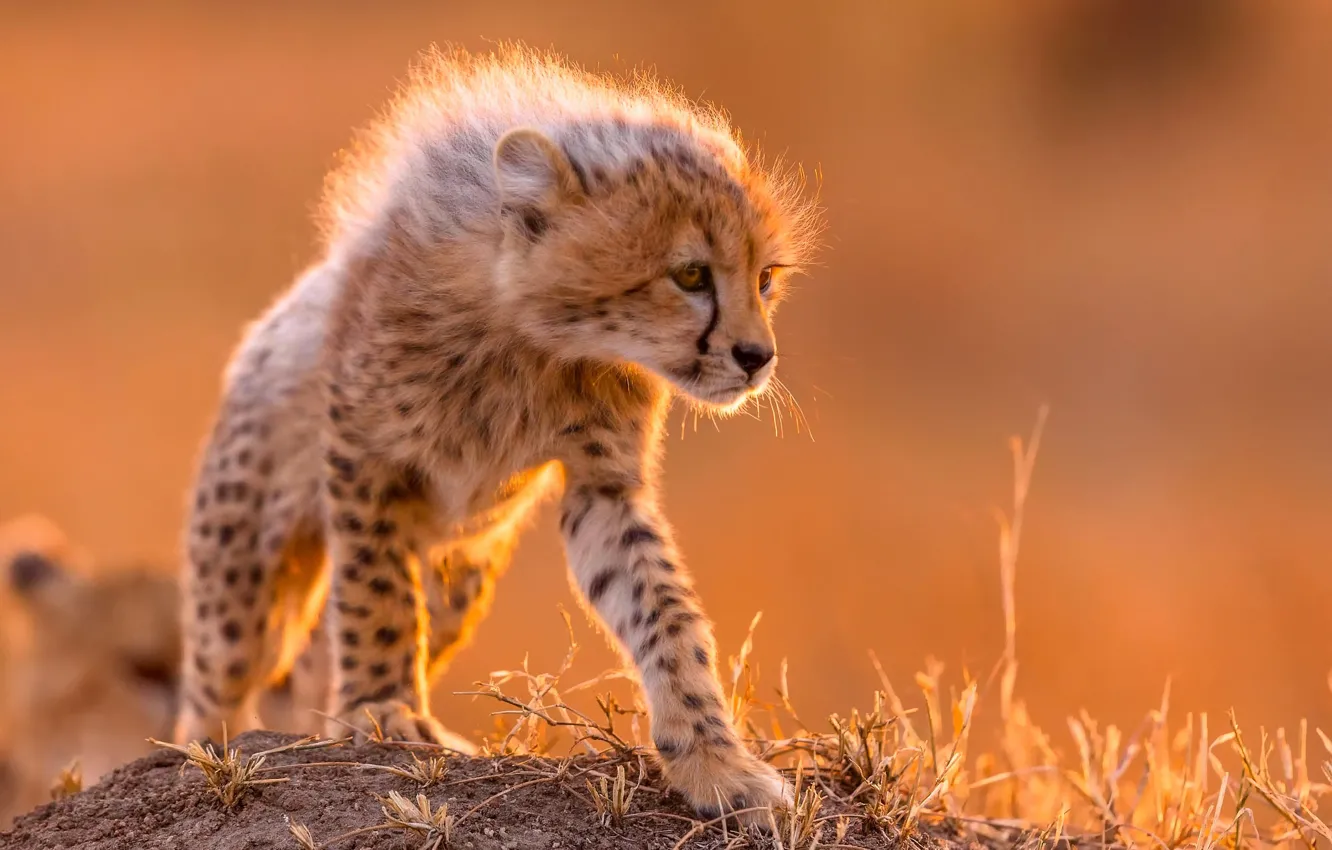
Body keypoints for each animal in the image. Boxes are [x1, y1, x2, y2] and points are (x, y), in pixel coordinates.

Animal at [175, 43, 820, 823]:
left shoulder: (601, 485)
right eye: (692, 274)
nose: (758, 358)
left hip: (461, 574)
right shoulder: (364, 455)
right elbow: (376, 595)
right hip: (243, 576)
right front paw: (382, 709)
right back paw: (219, 746)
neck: (533, 335)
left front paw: (715, 763)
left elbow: (664, 609)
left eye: (765, 278)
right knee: (219, 679)